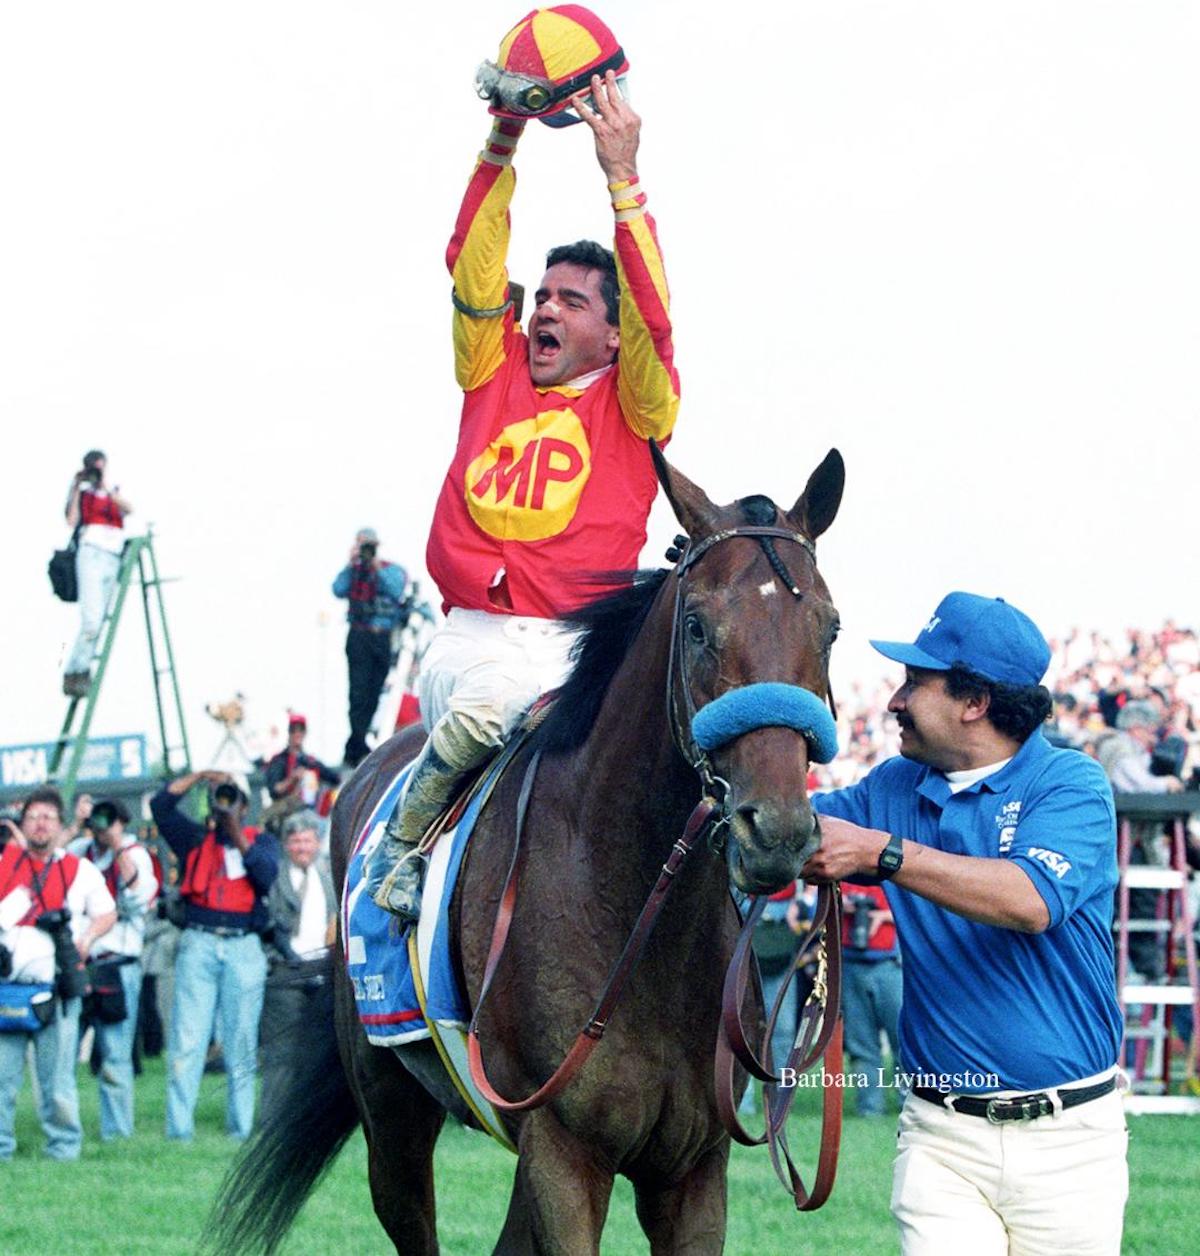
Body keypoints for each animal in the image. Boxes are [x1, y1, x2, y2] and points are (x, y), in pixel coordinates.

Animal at [206, 447, 844, 1250]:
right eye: (698, 627)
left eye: (829, 629)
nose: (779, 828)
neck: (638, 917)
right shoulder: (565, 1152)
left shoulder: (693, 1170)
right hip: (392, 1113)